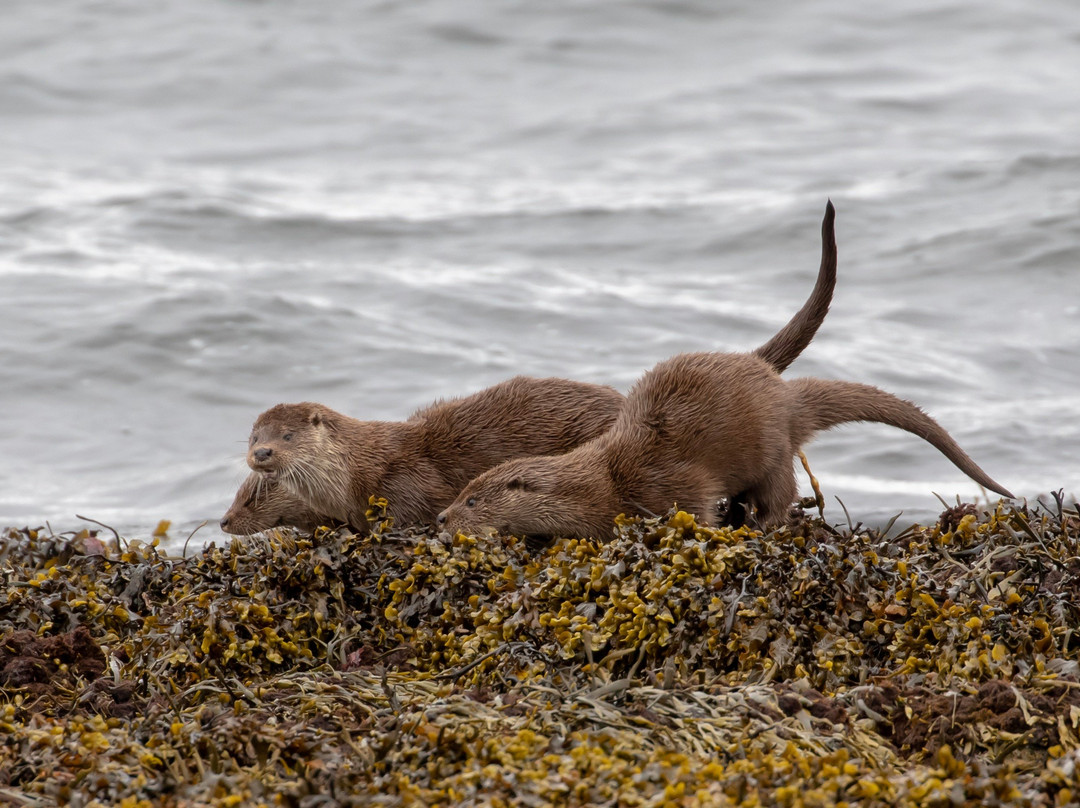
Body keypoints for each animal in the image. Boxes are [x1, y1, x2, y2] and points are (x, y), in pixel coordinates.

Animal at [438, 205, 1010, 540]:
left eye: (472, 499)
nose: (442, 519)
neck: (608, 481)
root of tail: (780, 391)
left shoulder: (672, 485)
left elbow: (696, 510)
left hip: (772, 448)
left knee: (780, 492)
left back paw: (760, 524)